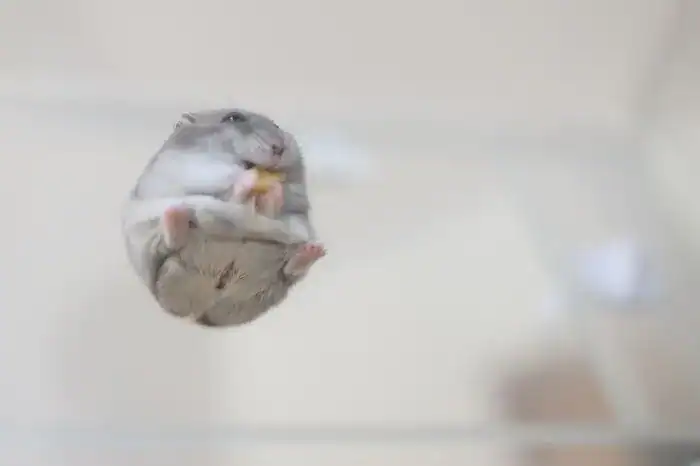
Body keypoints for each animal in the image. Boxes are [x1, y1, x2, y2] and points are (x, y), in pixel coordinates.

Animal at [121, 108, 326, 327]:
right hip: (155, 246)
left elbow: (277, 205)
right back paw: (177, 215)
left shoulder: (295, 209)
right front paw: (250, 179)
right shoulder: (192, 173)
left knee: (290, 268)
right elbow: (230, 188)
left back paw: (313, 250)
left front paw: (274, 188)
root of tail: (202, 314)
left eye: (277, 126)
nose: (279, 148)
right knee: (171, 243)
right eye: (233, 118)